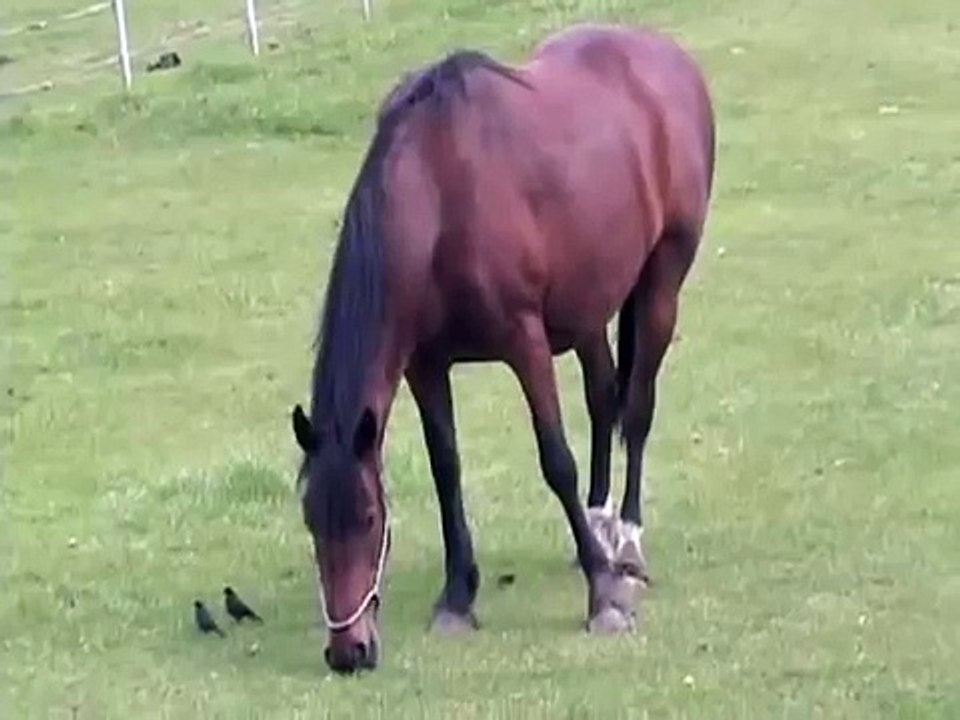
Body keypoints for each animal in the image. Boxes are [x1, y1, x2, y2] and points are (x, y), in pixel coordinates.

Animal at [291, 22, 716, 674]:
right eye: (312, 520)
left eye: (367, 518)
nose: (348, 651)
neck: (440, 198)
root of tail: (668, 55)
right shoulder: (426, 367)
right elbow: (447, 470)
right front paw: (457, 597)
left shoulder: (525, 342)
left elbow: (556, 460)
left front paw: (603, 598)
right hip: (590, 307)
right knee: (603, 398)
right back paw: (596, 525)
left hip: (661, 283)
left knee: (638, 409)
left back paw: (626, 543)